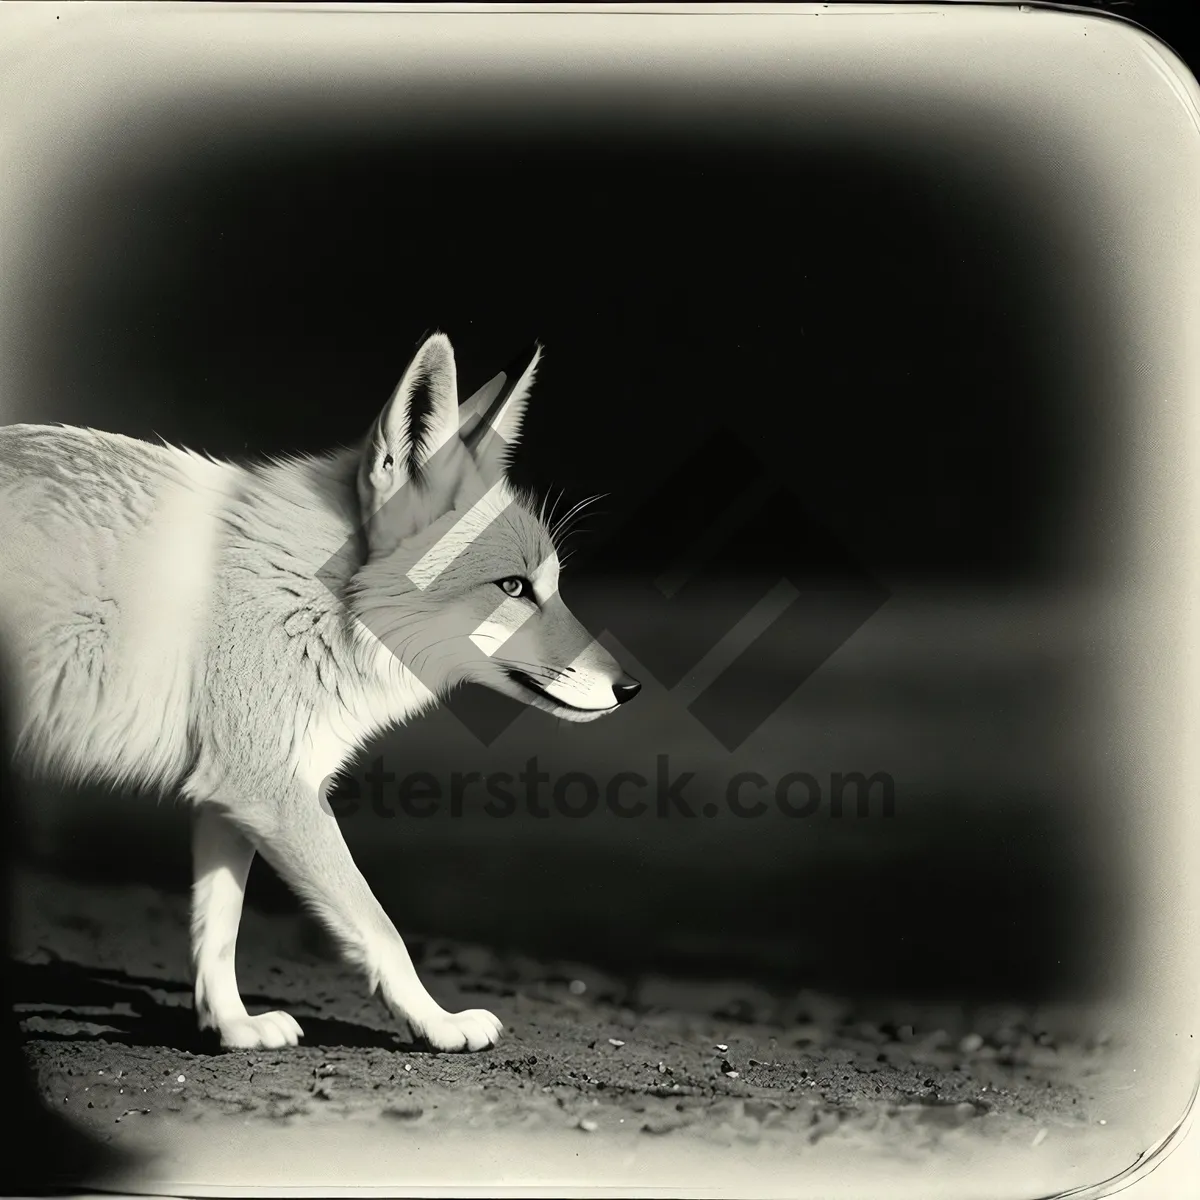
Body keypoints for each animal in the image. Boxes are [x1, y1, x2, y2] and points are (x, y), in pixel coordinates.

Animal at [0, 333, 643, 1056]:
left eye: (552, 586)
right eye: (512, 588)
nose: (630, 688)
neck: (319, 597)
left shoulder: (231, 792)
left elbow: (217, 931)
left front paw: (232, 1027)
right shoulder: (270, 789)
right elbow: (381, 929)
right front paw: (437, 1023)